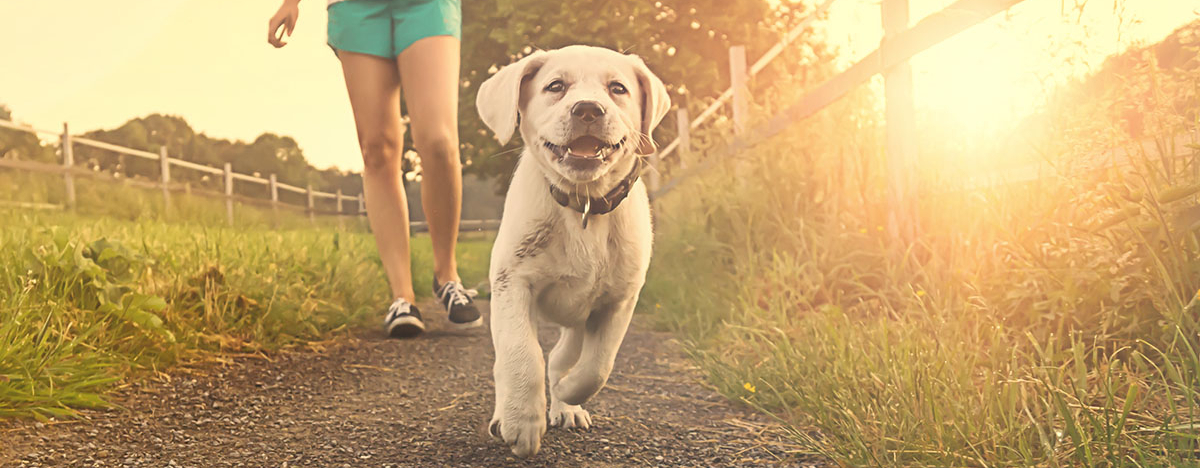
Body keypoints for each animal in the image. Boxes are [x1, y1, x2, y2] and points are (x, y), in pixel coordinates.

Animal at [472, 44, 672, 456]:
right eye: (555, 86)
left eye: (618, 88)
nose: (588, 109)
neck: (583, 205)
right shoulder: (511, 283)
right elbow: (521, 353)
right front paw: (522, 421)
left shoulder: (618, 301)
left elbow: (598, 366)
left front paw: (567, 393)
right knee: (520, 360)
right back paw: (508, 414)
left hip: (579, 321)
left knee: (563, 357)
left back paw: (566, 406)